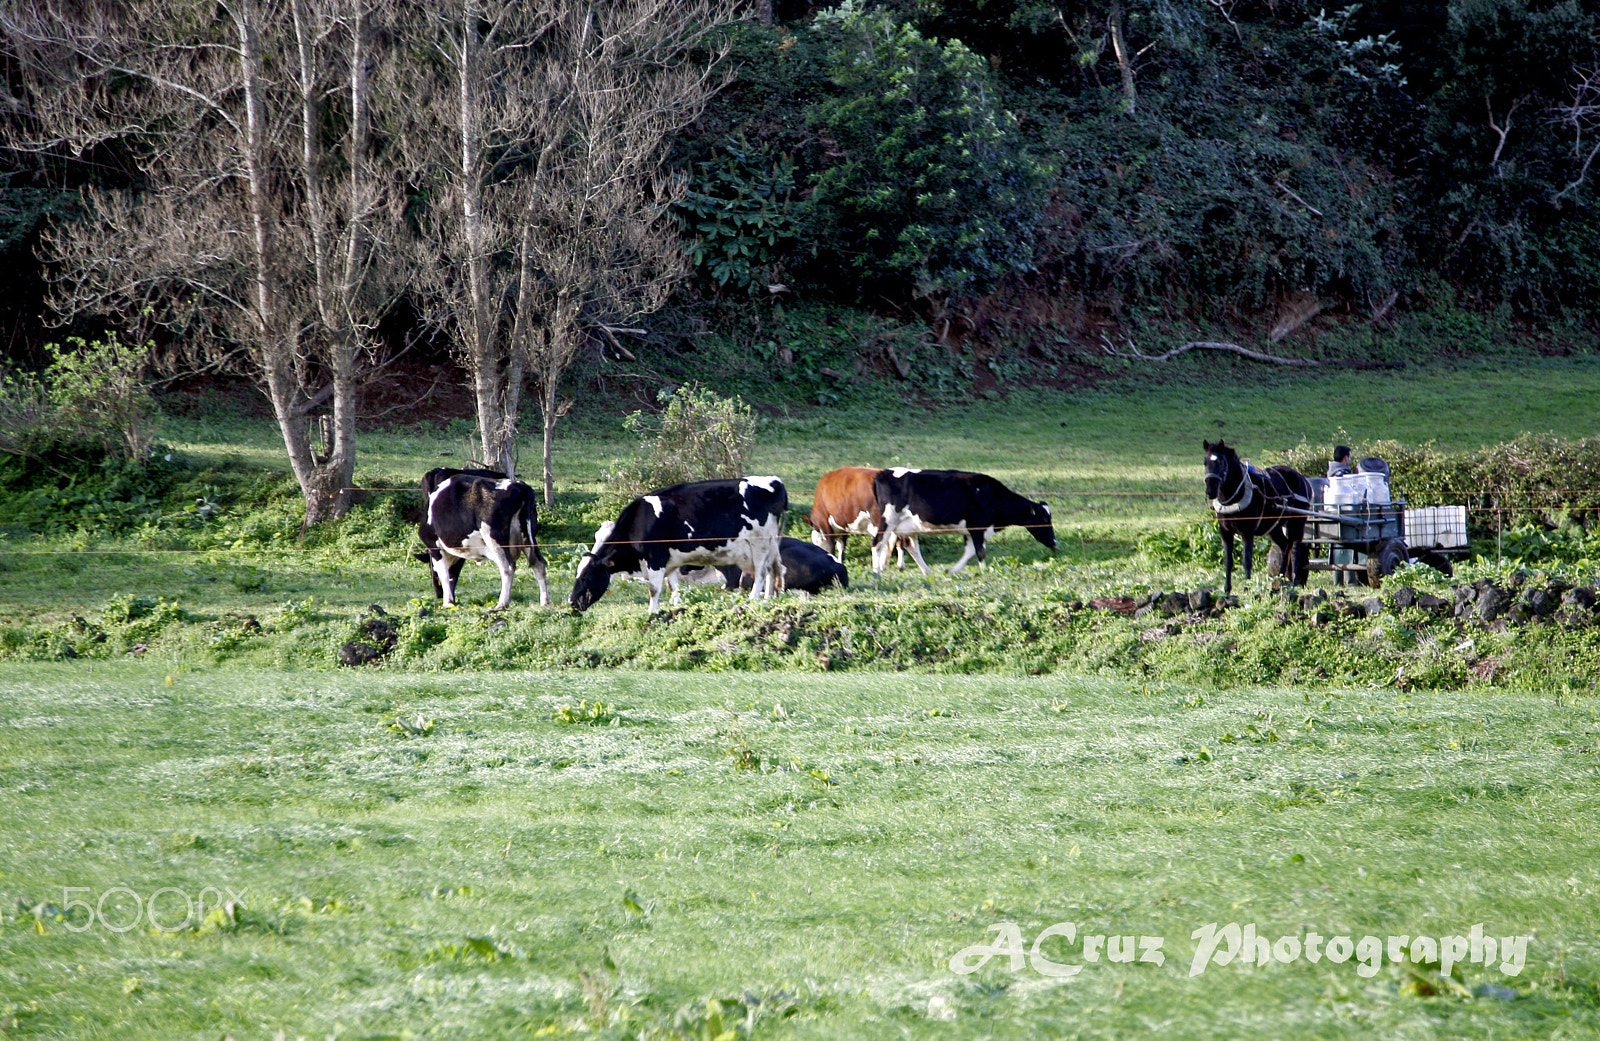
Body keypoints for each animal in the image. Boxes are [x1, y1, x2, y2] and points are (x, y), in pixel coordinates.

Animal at [416, 467, 549, 609]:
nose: (439, 595)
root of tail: (518, 485)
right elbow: (452, 576)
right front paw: (451, 601)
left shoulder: (434, 545)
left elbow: (445, 575)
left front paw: (447, 603)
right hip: (528, 537)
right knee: (538, 563)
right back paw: (544, 601)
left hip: (494, 537)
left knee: (507, 567)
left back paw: (502, 604)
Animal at [570, 477, 788, 613]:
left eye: (587, 576)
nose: (571, 602)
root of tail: (775, 481)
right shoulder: (670, 559)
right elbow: (673, 584)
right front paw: (675, 605)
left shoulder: (655, 559)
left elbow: (654, 589)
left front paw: (651, 611)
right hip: (771, 544)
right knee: (773, 570)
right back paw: (768, 599)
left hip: (759, 544)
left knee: (761, 572)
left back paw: (754, 599)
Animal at [871, 467, 1055, 575]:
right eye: (1044, 518)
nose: (1055, 542)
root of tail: (882, 473)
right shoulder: (977, 527)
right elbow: (980, 552)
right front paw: (984, 571)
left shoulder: (973, 531)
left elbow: (970, 552)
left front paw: (952, 570)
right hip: (888, 520)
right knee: (877, 543)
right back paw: (876, 571)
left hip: (907, 525)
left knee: (910, 547)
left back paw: (926, 571)